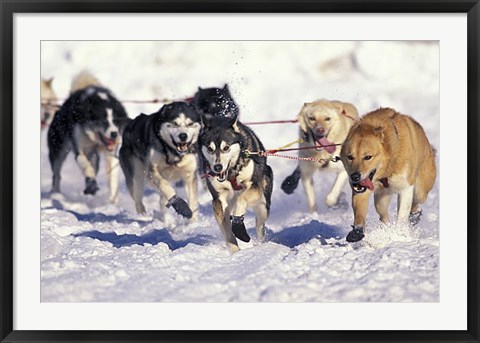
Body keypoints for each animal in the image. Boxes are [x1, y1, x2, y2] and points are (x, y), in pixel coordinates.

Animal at [47, 71, 130, 203]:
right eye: (102, 121)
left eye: (116, 121)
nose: (114, 134)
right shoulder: (80, 150)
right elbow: (86, 167)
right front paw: (91, 184)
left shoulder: (111, 155)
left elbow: (112, 178)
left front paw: (113, 202)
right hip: (57, 149)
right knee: (57, 173)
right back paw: (56, 194)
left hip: (94, 154)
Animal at [200, 115, 274, 253]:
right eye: (210, 149)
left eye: (226, 147)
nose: (217, 167)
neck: (231, 173)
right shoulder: (218, 199)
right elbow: (227, 230)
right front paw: (235, 251)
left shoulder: (254, 186)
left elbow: (241, 201)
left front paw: (239, 227)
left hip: (263, 205)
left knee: (259, 223)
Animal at [340, 109, 436, 243]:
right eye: (350, 157)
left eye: (368, 157)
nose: (355, 176)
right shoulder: (361, 189)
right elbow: (360, 211)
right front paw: (357, 231)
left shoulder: (406, 188)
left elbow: (402, 214)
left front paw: (400, 233)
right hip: (381, 200)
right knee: (383, 215)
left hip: (421, 190)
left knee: (416, 202)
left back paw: (414, 215)